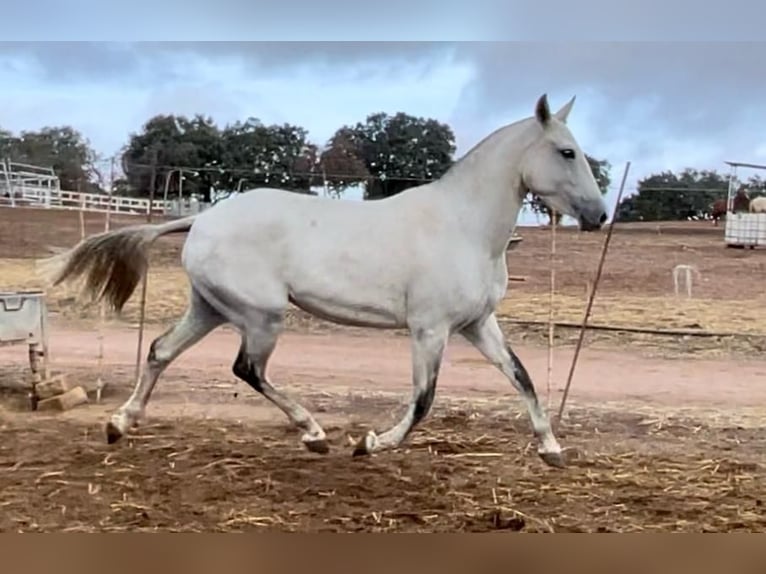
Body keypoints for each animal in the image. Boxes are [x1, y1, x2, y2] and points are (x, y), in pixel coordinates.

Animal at [42, 94, 608, 470]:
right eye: (566, 152)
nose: (600, 215)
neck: (463, 226)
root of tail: (201, 219)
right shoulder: (430, 329)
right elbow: (423, 399)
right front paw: (371, 442)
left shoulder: (477, 324)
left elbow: (522, 377)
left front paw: (552, 449)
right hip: (261, 316)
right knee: (246, 368)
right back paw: (314, 433)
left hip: (210, 308)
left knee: (161, 349)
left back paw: (119, 425)